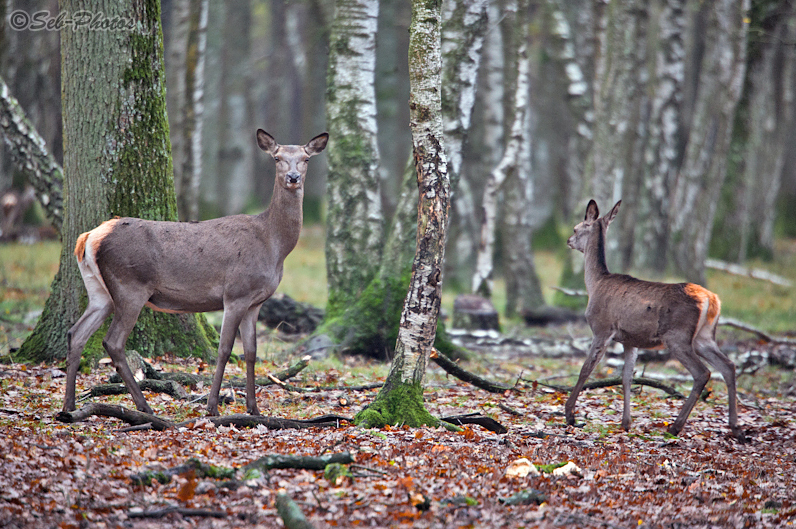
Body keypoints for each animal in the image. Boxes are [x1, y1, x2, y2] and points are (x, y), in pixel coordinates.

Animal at [61, 129, 330, 416]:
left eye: (306, 159)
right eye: (277, 158)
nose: (293, 177)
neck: (273, 245)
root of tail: (89, 237)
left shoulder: (255, 302)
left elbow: (251, 351)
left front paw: (254, 408)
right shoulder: (236, 293)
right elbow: (224, 350)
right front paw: (212, 406)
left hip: (99, 290)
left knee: (76, 333)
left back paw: (70, 405)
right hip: (129, 285)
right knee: (113, 342)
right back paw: (144, 406)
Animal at [564, 199, 748, 442]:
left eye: (576, 228)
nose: (568, 240)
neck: (595, 283)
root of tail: (711, 299)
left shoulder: (602, 328)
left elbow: (586, 369)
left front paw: (570, 415)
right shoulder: (630, 340)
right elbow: (627, 377)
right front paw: (625, 423)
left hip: (677, 336)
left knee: (702, 372)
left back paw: (675, 427)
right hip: (704, 336)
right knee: (728, 366)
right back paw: (736, 428)